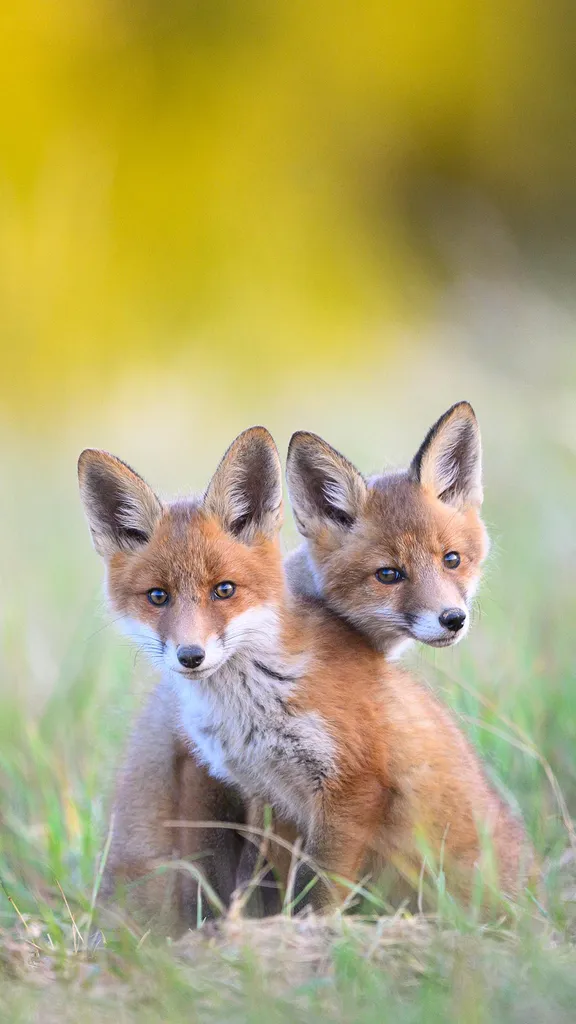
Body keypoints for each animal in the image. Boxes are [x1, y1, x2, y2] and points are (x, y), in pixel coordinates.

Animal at [79, 422, 533, 932]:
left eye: (224, 590)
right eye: (158, 596)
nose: (190, 656)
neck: (255, 700)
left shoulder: (349, 787)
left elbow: (316, 891)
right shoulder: (254, 792)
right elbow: (265, 885)